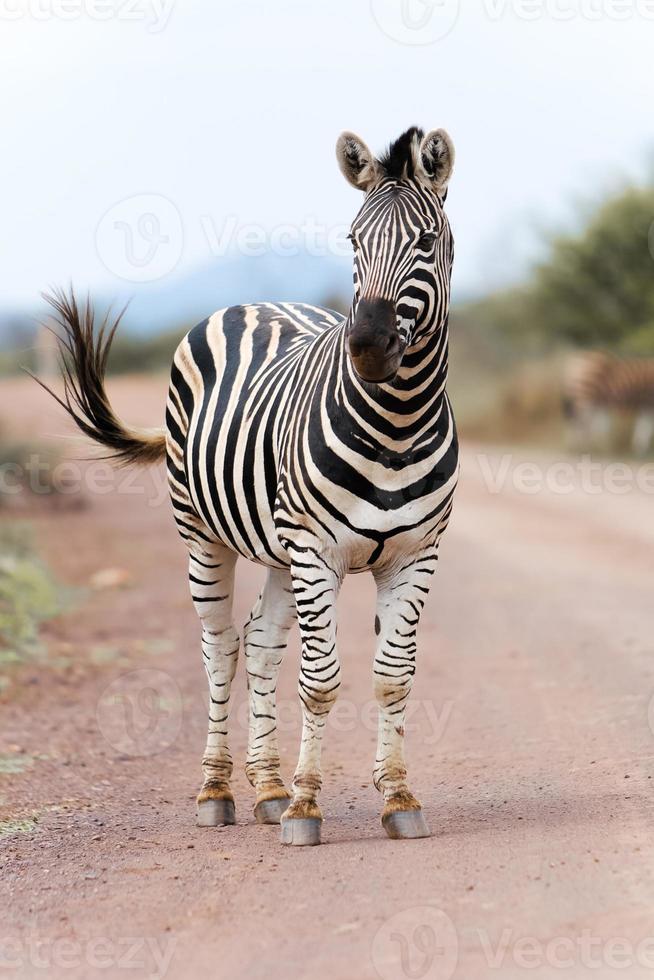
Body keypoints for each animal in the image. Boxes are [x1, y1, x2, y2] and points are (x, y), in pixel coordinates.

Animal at [41, 126, 458, 848]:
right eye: (353, 240)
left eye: (427, 242)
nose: (368, 347)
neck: (397, 423)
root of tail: (251, 302)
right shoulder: (318, 551)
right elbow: (321, 680)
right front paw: (307, 808)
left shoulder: (414, 555)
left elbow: (391, 678)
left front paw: (396, 797)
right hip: (205, 536)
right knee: (221, 649)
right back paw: (218, 791)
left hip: (281, 551)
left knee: (261, 645)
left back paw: (266, 787)